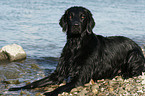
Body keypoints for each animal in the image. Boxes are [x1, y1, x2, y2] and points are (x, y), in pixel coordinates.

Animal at [9, 6, 145, 95]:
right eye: (70, 16)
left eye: (83, 16)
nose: (75, 25)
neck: (76, 45)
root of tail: (137, 44)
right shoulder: (58, 74)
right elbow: (35, 83)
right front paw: (16, 88)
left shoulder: (80, 78)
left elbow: (59, 88)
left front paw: (48, 93)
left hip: (134, 54)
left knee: (137, 71)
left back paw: (124, 74)